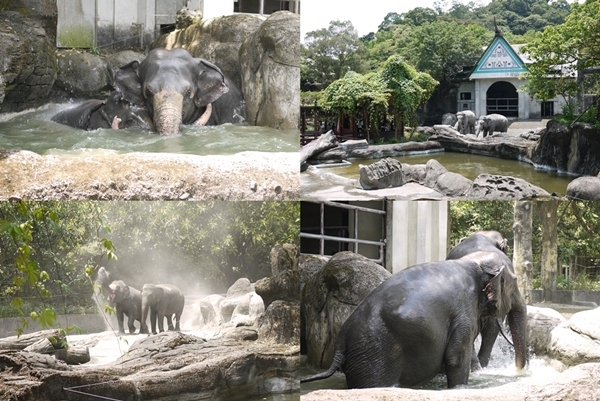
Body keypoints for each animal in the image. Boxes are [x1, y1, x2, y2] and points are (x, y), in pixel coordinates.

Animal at [302, 250, 528, 388]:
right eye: (515, 282)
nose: (517, 371)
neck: (472, 262)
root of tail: (341, 342)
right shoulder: (463, 310)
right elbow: (456, 356)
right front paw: (460, 388)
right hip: (373, 356)